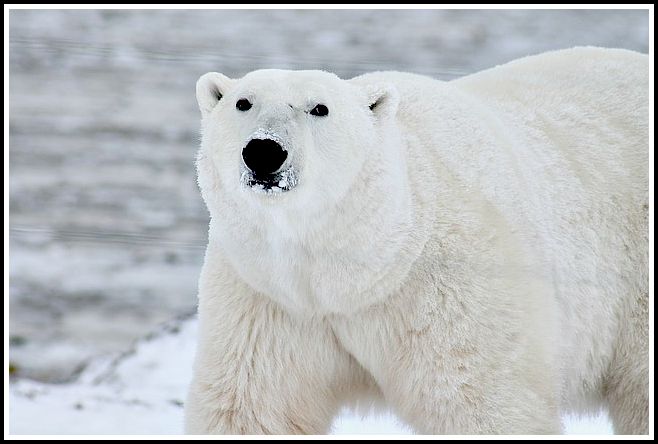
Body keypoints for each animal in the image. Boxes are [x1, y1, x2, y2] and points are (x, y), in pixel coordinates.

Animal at [183, 47, 644, 434]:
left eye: (320, 108)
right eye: (243, 103)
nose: (264, 151)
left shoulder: (450, 290)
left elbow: (481, 402)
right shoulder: (268, 298)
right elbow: (253, 407)